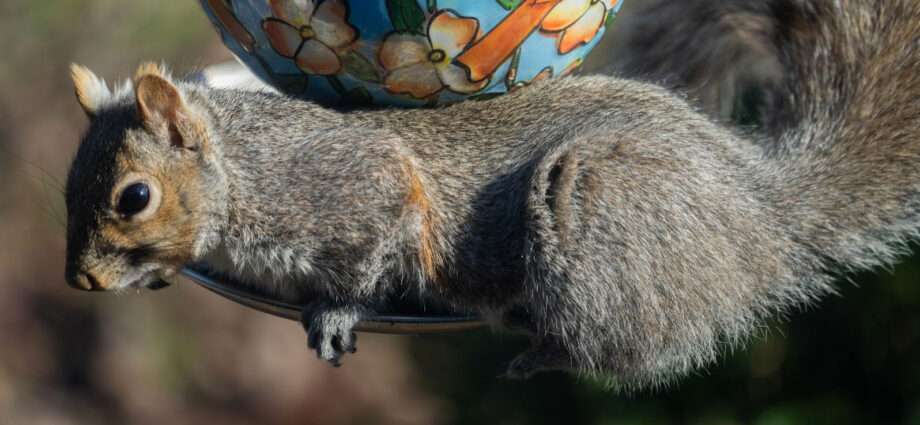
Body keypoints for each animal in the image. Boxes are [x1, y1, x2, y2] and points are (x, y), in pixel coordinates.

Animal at [64, 0, 920, 389]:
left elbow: (374, 245)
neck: (242, 172)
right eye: (69, 186)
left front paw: (336, 312)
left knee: (640, 346)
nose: (81, 279)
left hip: (600, 206)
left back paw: (544, 352)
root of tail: (761, 211)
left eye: (134, 196)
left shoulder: (356, 180)